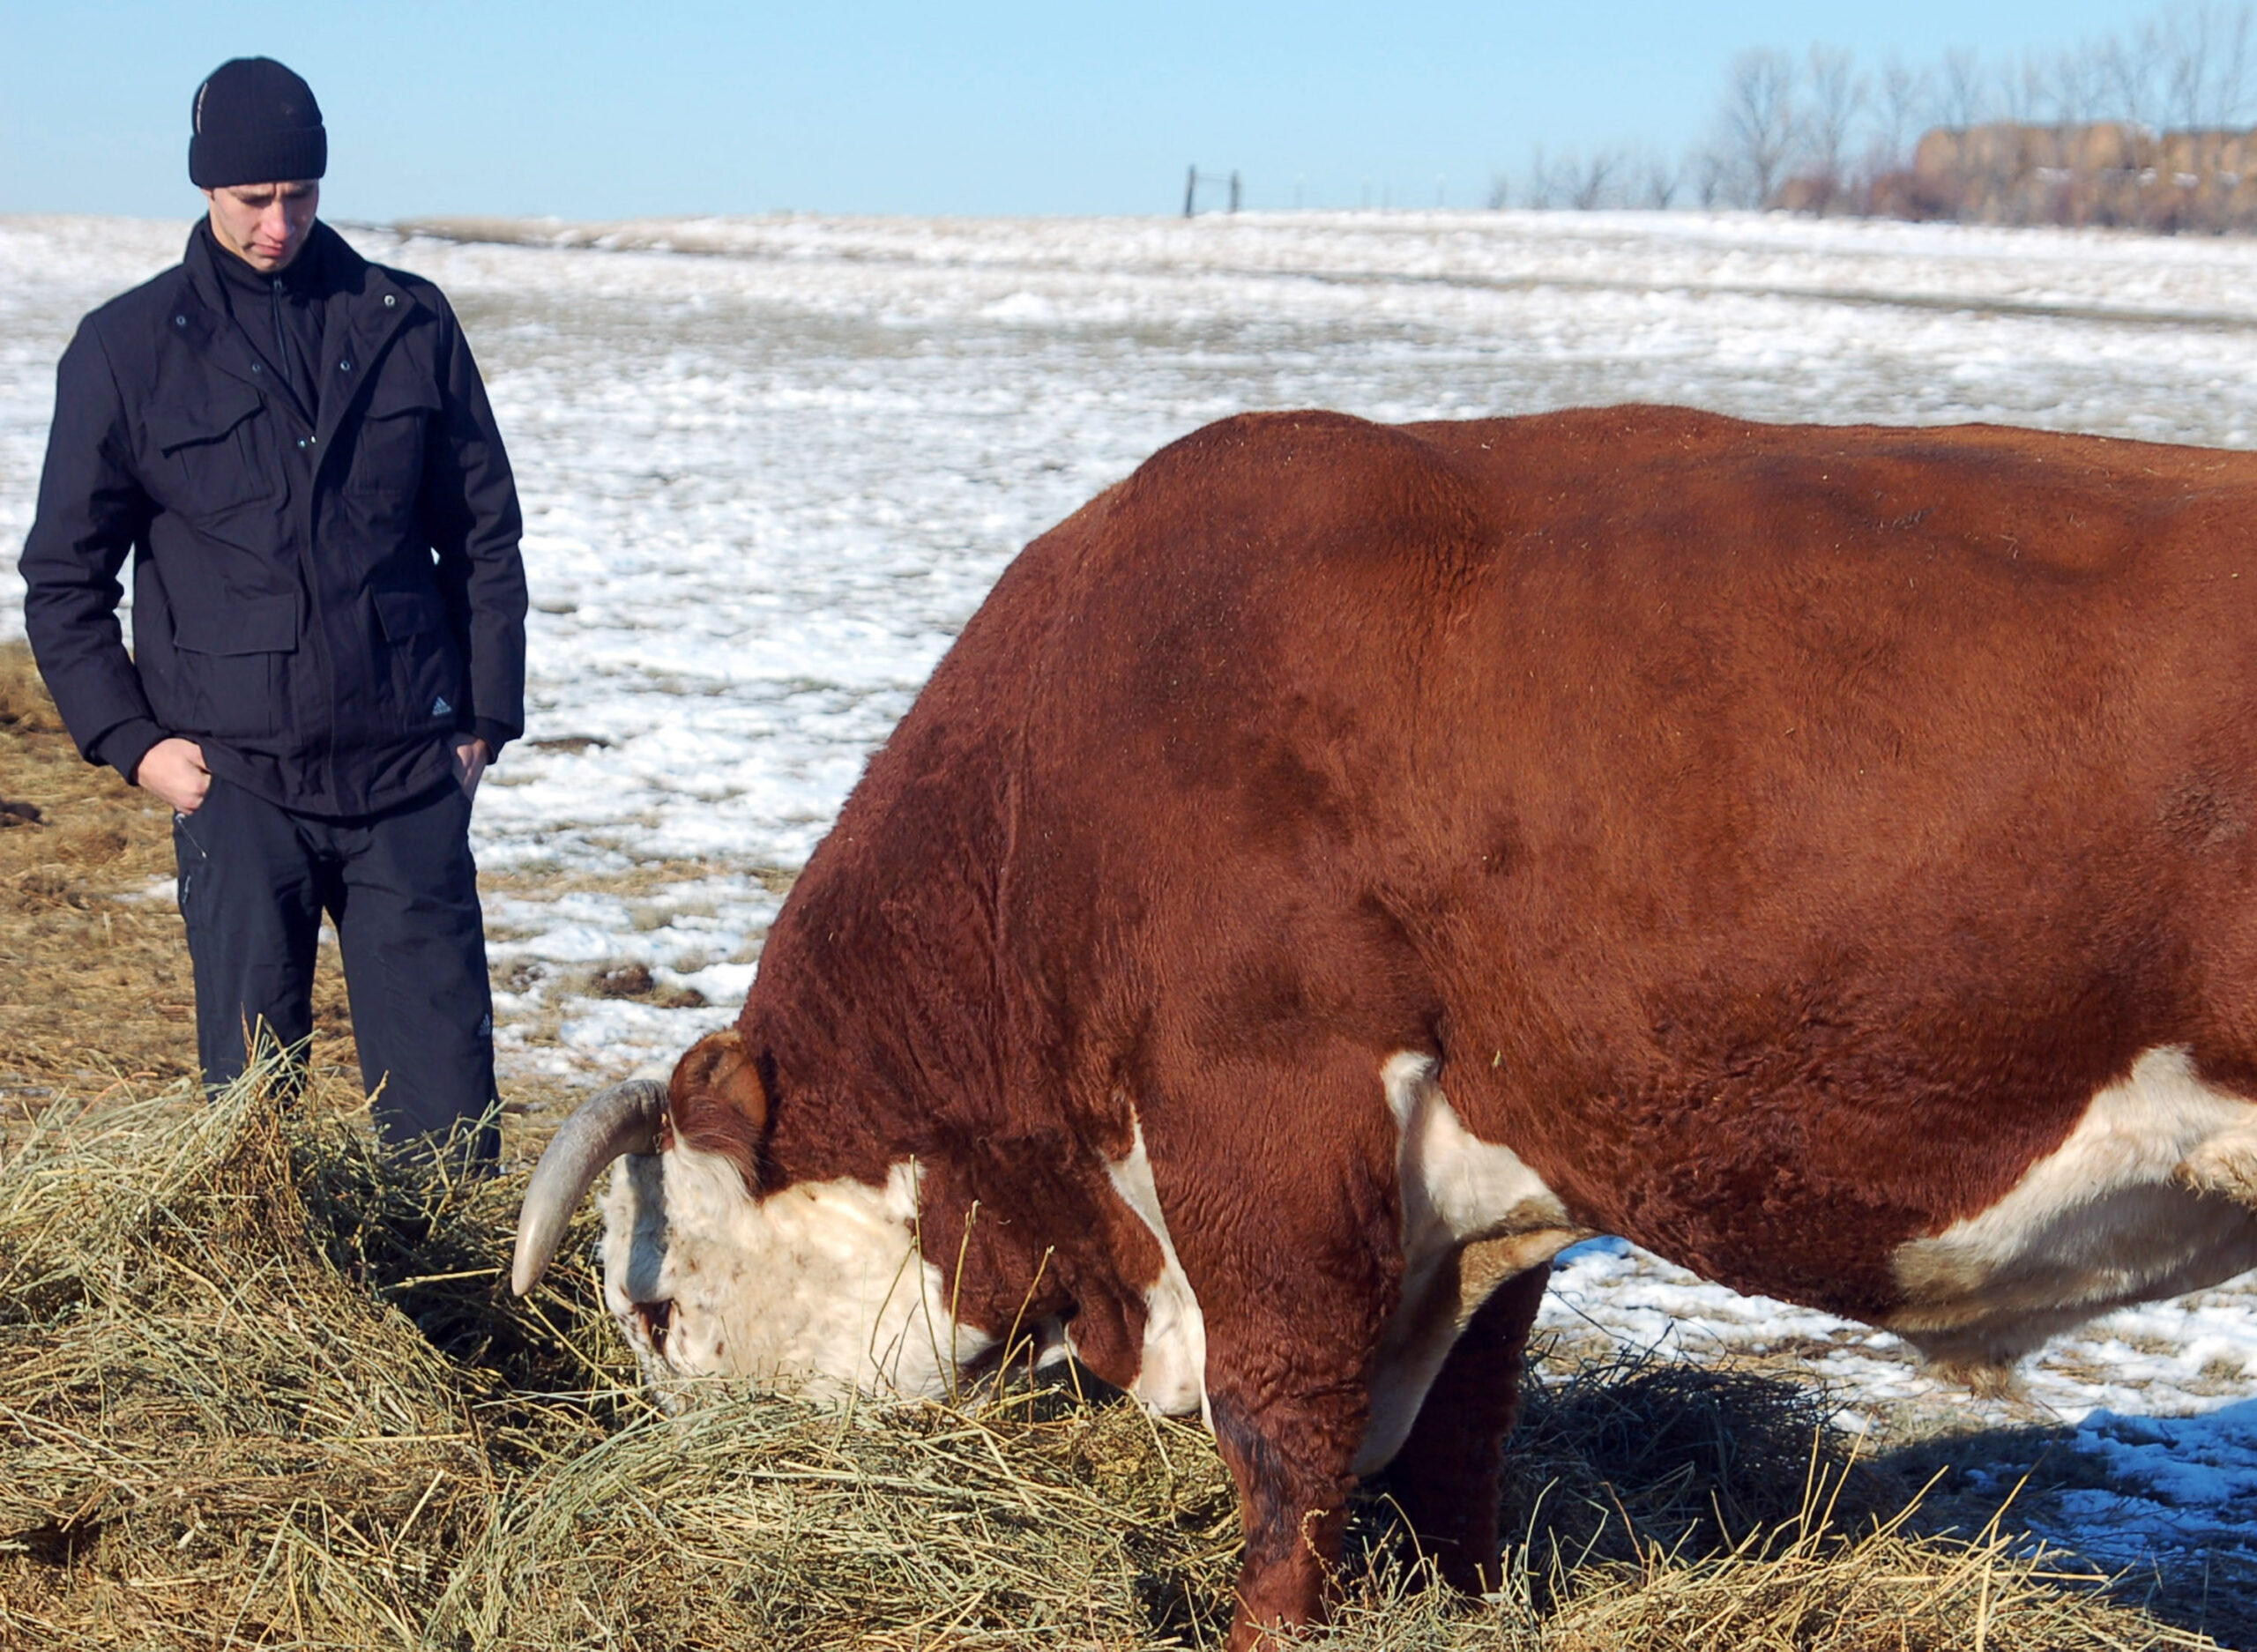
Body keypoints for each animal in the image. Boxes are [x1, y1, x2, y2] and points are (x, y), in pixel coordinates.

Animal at [511, 404, 2257, 1648]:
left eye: (652, 1308)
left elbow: (1287, 1430)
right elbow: (1457, 1435)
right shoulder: (1486, 1169)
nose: (679, 1474)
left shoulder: (1263, 1112)